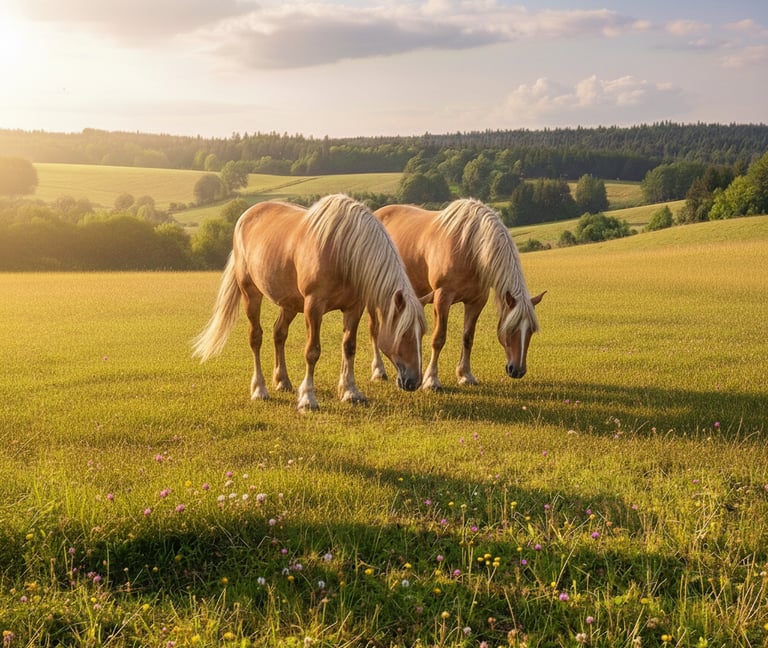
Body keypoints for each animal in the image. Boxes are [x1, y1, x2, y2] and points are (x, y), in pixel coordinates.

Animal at [192, 193, 426, 412]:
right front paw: (308, 399)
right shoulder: (313, 307)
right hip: (251, 293)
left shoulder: (354, 308)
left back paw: (282, 381)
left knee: (279, 333)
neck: (342, 251)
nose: (414, 381)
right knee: (255, 338)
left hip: (289, 303)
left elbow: (349, 347)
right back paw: (260, 389)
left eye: (422, 333)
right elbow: (312, 352)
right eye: (404, 333)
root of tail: (245, 216)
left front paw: (350, 391)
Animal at [370, 198, 545, 391]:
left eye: (531, 330)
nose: (518, 370)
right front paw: (431, 380)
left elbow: (468, 338)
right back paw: (379, 371)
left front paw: (465, 375)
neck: (469, 246)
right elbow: (438, 338)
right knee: (374, 330)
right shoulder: (442, 297)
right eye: (511, 328)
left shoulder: (477, 301)